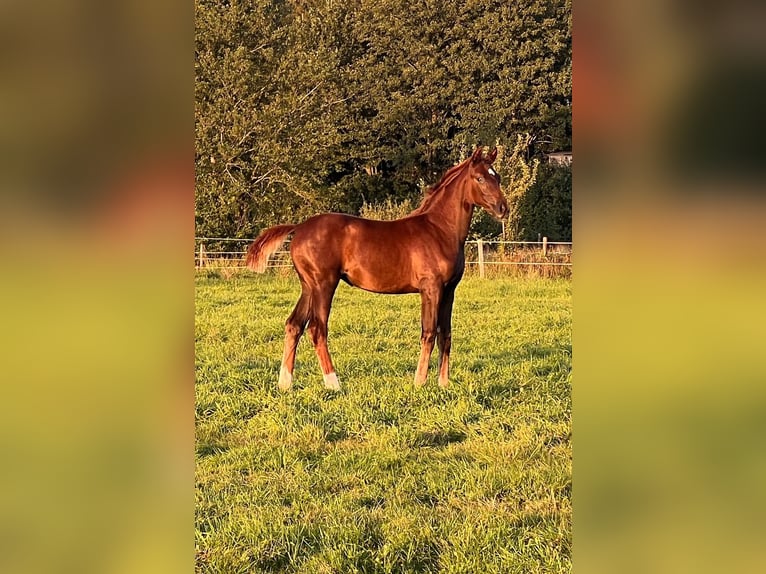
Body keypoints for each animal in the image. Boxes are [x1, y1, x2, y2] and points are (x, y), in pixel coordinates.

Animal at [248, 146, 510, 394]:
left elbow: (445, 334)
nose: (503, 209)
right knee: (317, 328)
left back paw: (285, 383)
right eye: (479, 178)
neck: (440, 230)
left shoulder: (449, 291)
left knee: (294, 325)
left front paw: (443, 384)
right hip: (324, 284)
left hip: (308, 286)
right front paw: (419, 382)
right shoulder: (431, 289)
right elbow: (428, 333)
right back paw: (333, 384)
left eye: (497, 177)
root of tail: (300, 227)